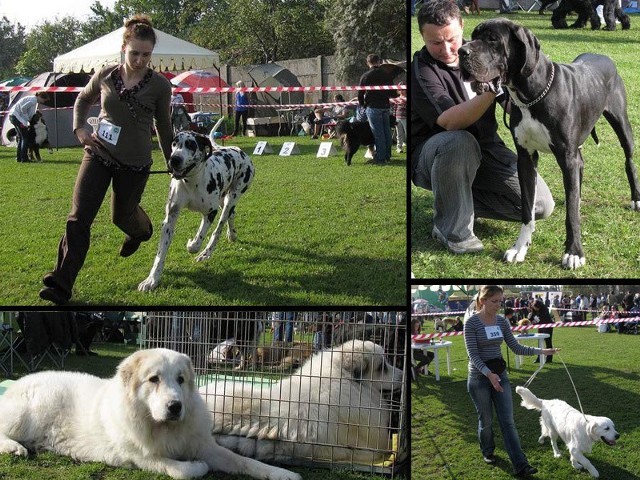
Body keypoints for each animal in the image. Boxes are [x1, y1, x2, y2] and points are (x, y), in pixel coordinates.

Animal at [0, 348, 300, 480]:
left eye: (180, 380)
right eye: (154, 379)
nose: (175, 406)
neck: (160, 426)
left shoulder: (205, 446)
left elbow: (243, 461)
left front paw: (282, 473)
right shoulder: (141, 457)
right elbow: (182, 469)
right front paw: (197, 467)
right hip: (23, 416)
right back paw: (15, 447)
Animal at [138, 129, 255, 290]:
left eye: (191, 145)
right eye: (174, 143)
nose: (174, 159)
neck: (191, 182)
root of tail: (238, 150)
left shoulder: (211, 212)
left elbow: (199, 239)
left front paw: (192, 244)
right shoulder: (170, 218)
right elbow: (160, 254)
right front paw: (152, 280)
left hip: (231, 198)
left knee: (219, 227)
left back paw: (206, 253)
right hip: (223, 200)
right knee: (231, 214)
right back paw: (232, 235)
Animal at [458, 18, 636, 268]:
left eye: (492, 39)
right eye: (473, 36)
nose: (461, 51)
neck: (531, 95)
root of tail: (603, 56)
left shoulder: (566, 157)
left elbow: (571, 215)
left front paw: (574, 252)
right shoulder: (525, 158)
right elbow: (527, 209)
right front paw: (520, 248)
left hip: (621, 124)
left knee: (629, 159)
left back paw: (635, 198)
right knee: (581, 168)